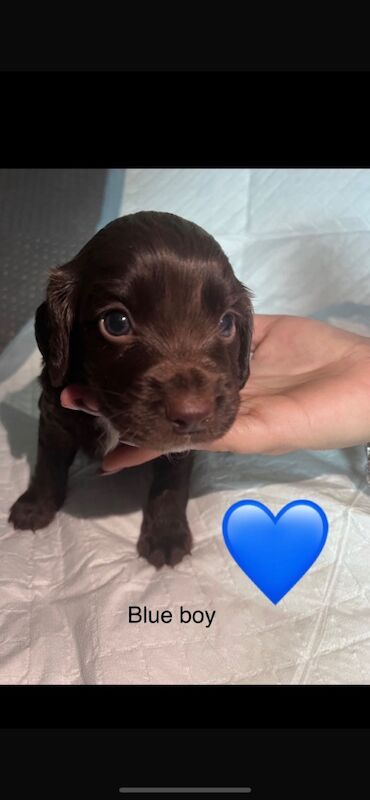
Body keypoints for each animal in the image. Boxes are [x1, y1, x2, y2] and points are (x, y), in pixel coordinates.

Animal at [8, 209, 253, 564]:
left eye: (227, 323)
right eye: (116, 322)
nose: (193, 414)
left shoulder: (181, 449)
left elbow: (171, 482)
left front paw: (166, 534)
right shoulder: (54, 415)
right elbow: (48, 463)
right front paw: (35, 507)